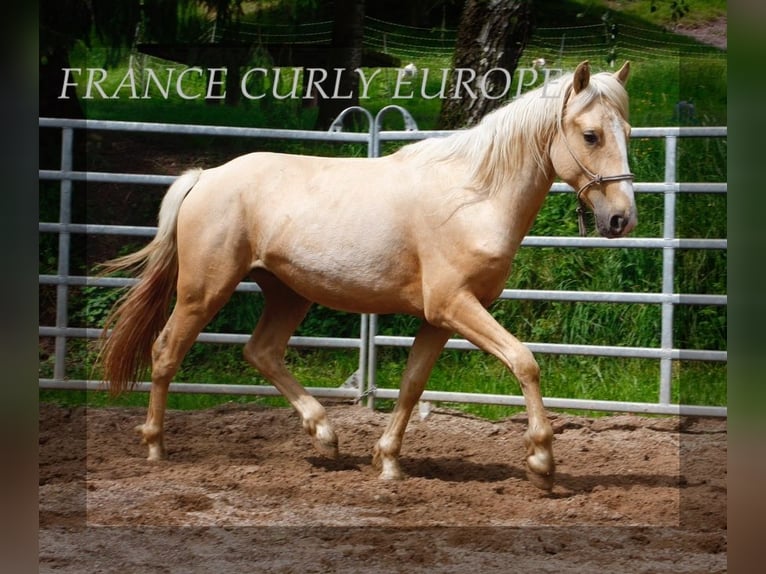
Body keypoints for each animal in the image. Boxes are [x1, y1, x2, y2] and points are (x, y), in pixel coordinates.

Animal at [100, 62, 636, 490]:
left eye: (628, 132)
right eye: (591, 135)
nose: (621, 219)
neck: (473, 197)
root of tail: (206, 177)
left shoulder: (438, 319)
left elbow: (412, 384)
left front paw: (389, 461)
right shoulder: (455, 305)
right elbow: (524, 362)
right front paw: (542, 463)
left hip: (287, 294)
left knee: (261, 351)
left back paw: (325, 435)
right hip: (203, 290)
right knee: (166, 352)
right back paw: (156, 447)